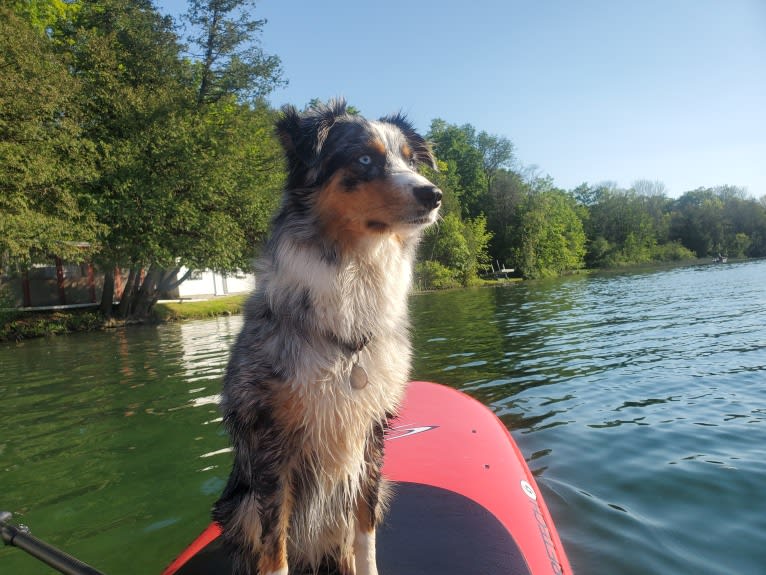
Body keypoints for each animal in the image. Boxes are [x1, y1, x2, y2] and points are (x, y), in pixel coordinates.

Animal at [216, 100, 444, 575]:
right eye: (364, 159)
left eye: (412, 162)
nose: (433, 194)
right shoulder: (273, 446)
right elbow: (275, 548)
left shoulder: (372, 437)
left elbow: (364, 530)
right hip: (238, 506)